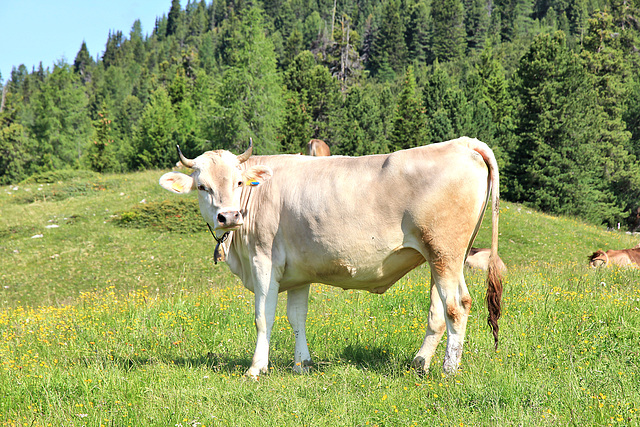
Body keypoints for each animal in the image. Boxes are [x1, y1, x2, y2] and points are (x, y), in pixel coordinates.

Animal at [158, 136, 502, 378]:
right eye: (202, 187)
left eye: (238, 182)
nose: (228, 217)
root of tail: (463, 143)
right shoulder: (297, 271)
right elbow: (296, 317)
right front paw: (301, 364)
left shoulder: (263, 261)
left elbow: (263, 316)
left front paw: (256, 368)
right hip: (440, 257)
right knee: (438, 312)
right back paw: (420, 363)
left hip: (445, 252)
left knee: (457, 306)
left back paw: (448, 370)